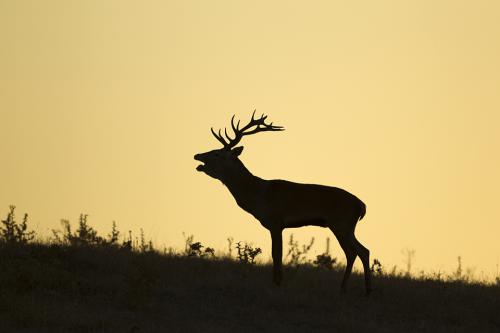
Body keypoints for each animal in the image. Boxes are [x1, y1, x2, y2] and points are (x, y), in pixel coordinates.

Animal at [195, 111, 372, 294]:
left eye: (217, 153)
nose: (197, 155)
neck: (258, 195)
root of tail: (362, 205)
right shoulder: (277, 224)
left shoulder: (276, 221)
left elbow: (276, 254)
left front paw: (277, 283)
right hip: (340, 226)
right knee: (353, 252)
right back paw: (344, 287)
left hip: (342, 224)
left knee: (362, 251)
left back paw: (367, 289)